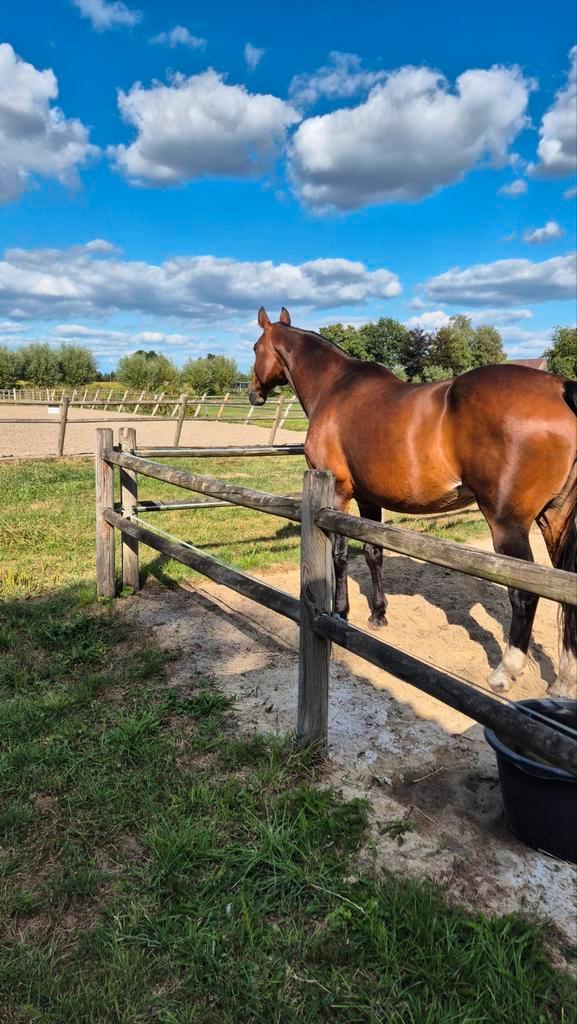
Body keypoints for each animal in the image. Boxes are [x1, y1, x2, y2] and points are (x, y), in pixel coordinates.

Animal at [249, 306, 577, 698]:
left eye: (255, 348)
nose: (252, 393)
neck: (335, 388)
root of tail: (561, 388)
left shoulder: (339, 494)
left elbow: (340, 557)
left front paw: (341, 612)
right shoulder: (368, 500)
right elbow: (373, 554)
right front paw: (378, 614)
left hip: (508, 525)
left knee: (526, 593)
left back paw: (505, 672)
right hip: (554, 518)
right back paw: (563, 681)